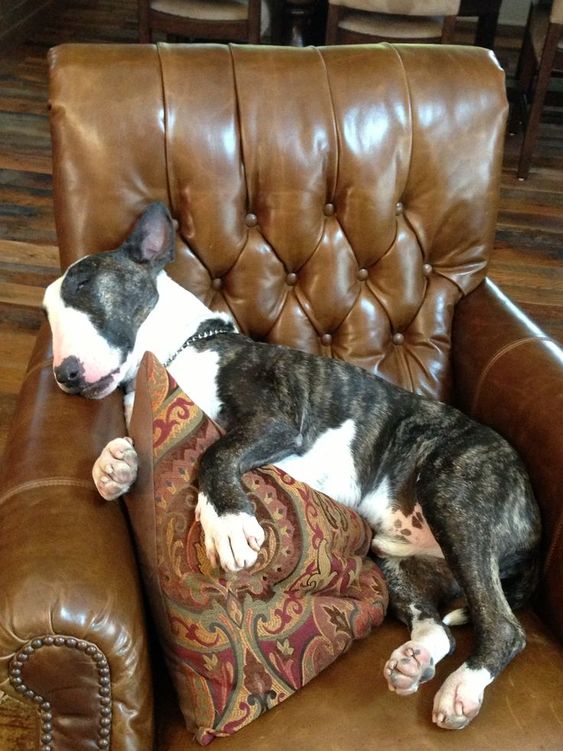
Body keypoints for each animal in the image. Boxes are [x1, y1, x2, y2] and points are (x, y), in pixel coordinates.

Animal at [43, 203, 540, 732]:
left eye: (83, 284)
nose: (63, 376)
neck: (180, 351)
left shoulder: (278, 420)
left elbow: (214, 452)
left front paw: (227, 523)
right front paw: (114, 466)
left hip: (452, 496)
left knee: (503, 626)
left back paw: (461, 688)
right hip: (394, 557)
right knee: (439, 630)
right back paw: (414, 662)